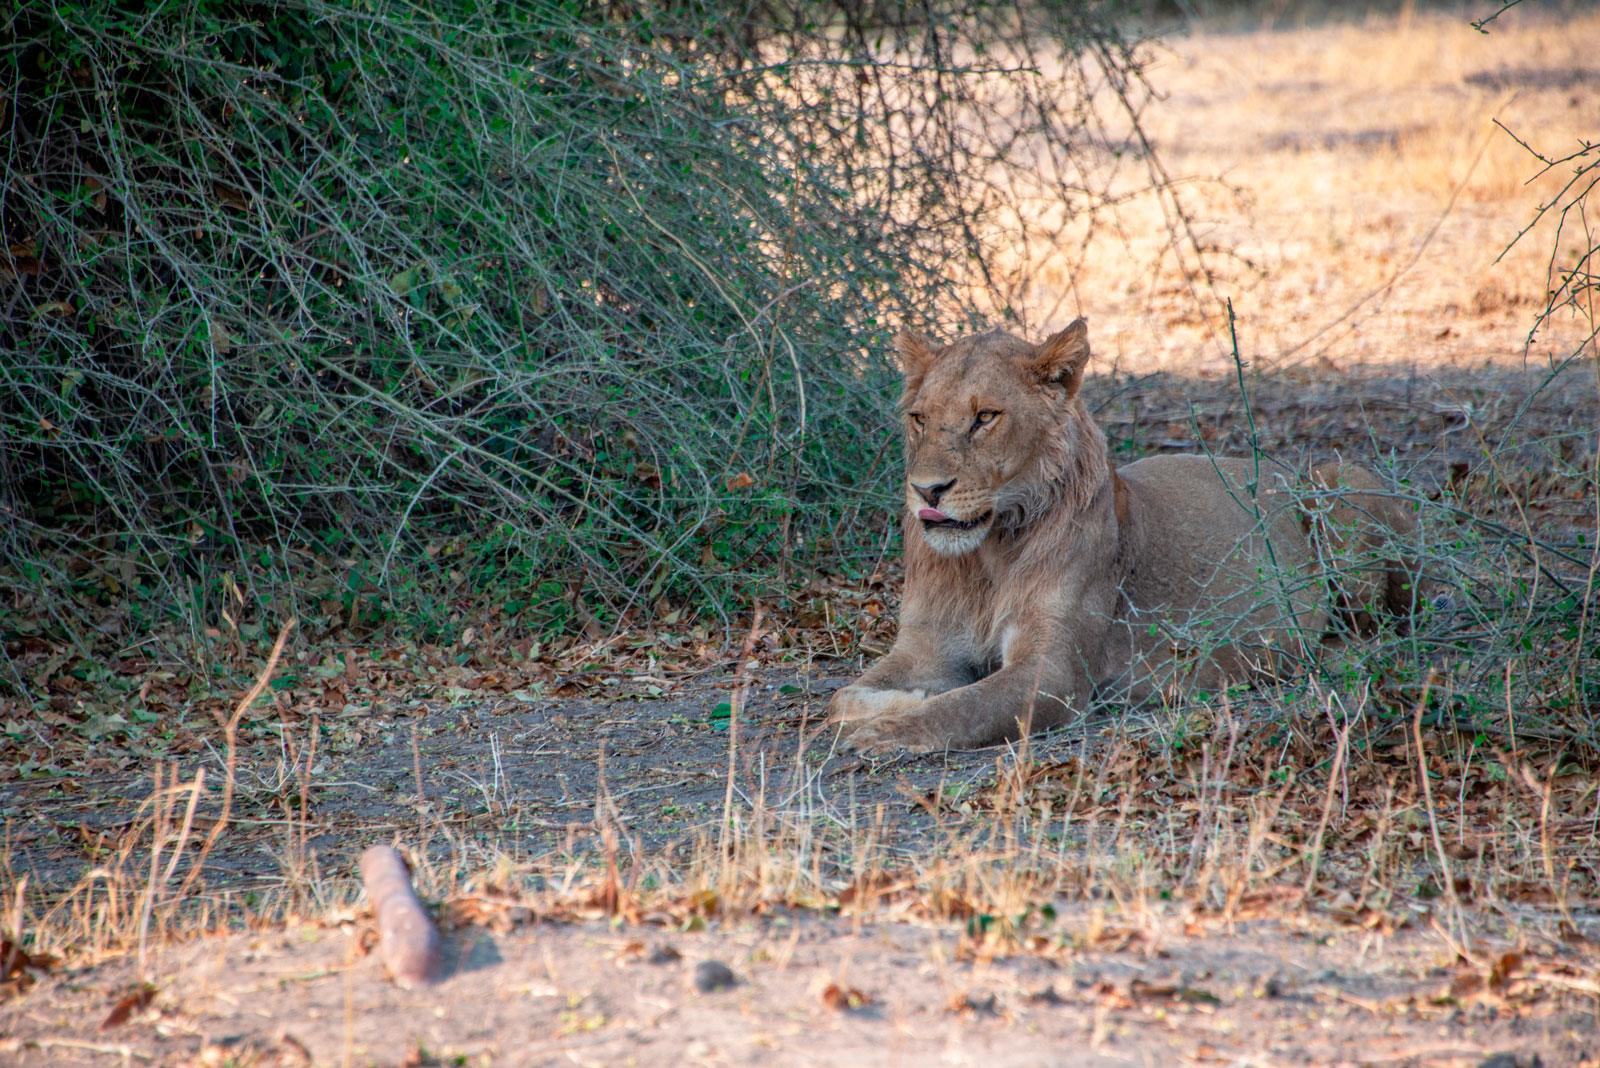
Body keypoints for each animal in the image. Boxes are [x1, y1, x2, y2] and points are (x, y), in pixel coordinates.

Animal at [832, 321, 1433, 754]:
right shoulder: (925, 646)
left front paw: (888, 731)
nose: (926, 490)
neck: (987, 554)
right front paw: (898, 701)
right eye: (919, 418)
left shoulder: (1055, 674)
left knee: (1381, 630)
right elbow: (844, 696)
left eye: (985, 417)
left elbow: (962, 707)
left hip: (1336, 480)